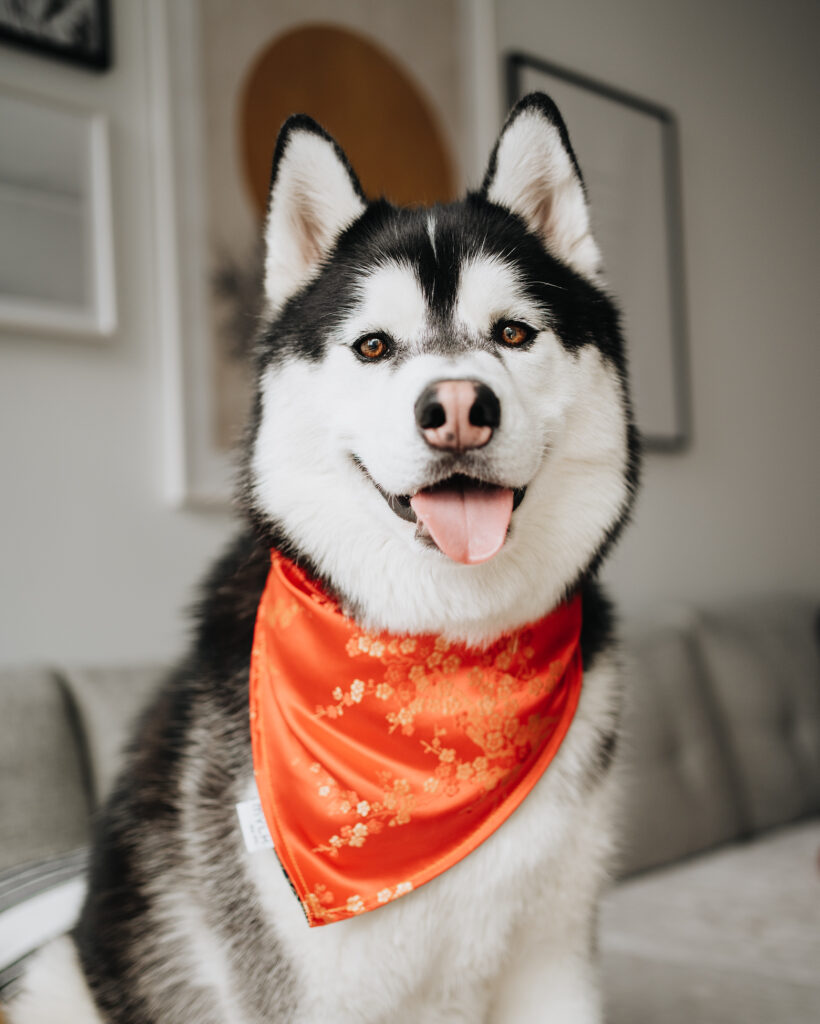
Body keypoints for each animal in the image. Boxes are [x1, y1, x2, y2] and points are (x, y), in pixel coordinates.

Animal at [11, 92, 638, 1019]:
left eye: (514, 333)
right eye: (374, 346)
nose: (458, 407)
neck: (441, 665)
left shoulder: (553, 958)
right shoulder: (308, 987)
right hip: (54, 972)